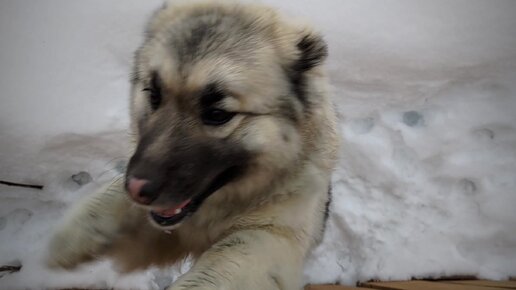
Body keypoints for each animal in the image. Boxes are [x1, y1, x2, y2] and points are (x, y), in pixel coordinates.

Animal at [47, 1, 338, 288]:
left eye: (218, 114)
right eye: (153, 95)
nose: (136, 189)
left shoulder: (269, 238)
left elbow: (220, 267)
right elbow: (102, 209)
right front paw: (61, 248)